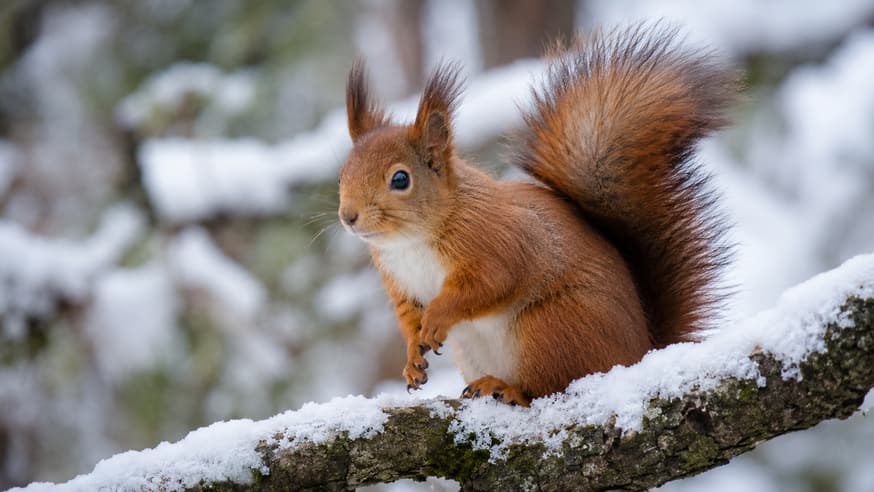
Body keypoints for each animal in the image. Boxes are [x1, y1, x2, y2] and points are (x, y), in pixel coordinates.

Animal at [337, 24, 736, 406]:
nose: (348, 216)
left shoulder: (495, 241)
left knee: (550, 385)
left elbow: (488, 283)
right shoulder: (399, 281)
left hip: (550, 328)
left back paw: (507, 388)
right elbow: (409, 318)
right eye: (342, 174)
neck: (412, 240)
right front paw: (412, 358)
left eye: (400, 179)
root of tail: (639, 355)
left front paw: (437, 318)